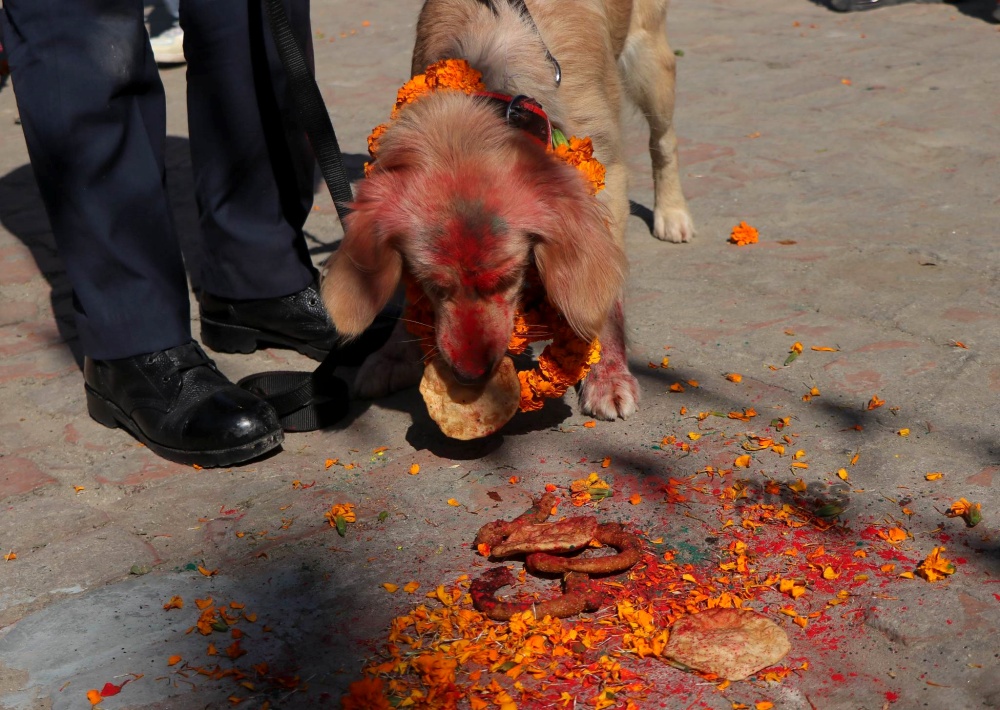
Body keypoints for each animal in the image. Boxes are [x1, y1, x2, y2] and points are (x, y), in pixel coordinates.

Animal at [324, 0, 692, 420]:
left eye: (508, 278)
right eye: (434, 285)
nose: (469, 376)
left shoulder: (607, 175)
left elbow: (605, 296)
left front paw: (608, 373)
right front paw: (394, 355)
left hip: (650, 63)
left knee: (664, 139)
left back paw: (672, 212)